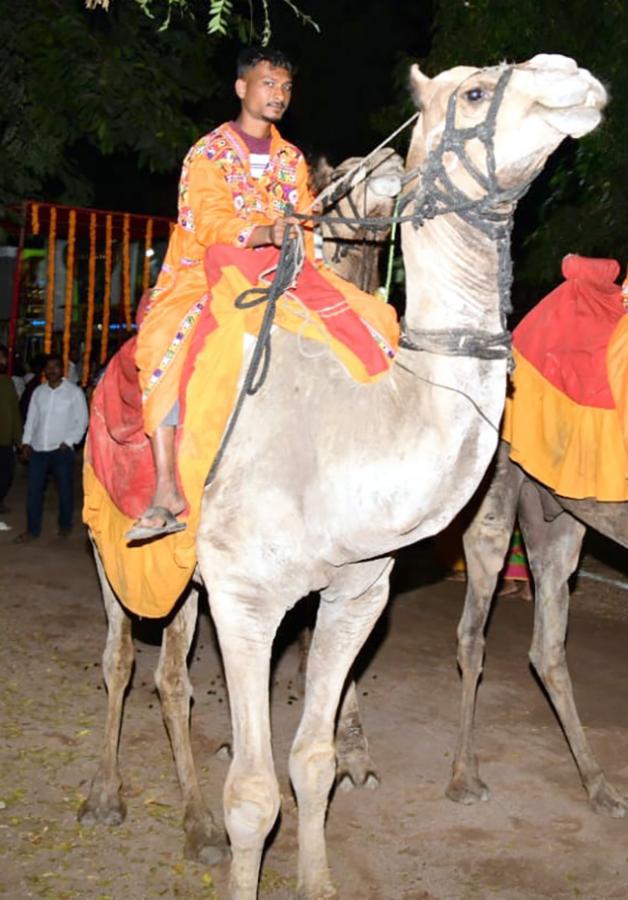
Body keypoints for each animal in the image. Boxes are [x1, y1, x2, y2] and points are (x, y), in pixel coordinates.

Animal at [81, 56, 604, 900]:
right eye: (474, 93)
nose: (574, 77)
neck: (349, 432)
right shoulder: (248, 600)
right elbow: (253, 794)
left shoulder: (357, 590)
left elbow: (312, 761)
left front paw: (318, 873)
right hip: (111, 540)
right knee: (121, 657)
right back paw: (106, 795)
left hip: (188, 575)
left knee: (171, 677)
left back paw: (193, 826)